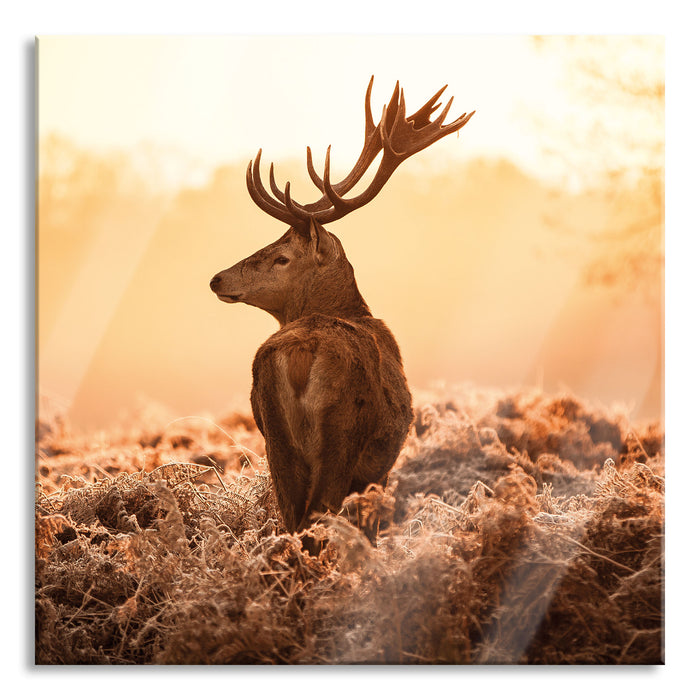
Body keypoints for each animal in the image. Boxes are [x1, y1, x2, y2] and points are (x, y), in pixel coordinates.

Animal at [210, 77, 473, 546]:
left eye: (281, 257)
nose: (217, 279)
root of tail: (300, 353)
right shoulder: (377, 470)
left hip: (275, 439)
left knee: (291, 517)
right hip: (342, 435)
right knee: (318, 516)